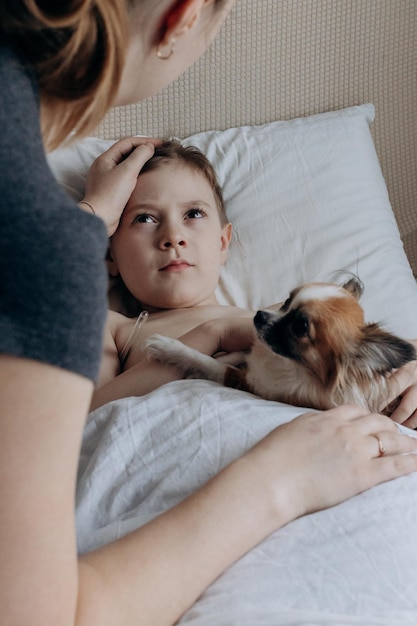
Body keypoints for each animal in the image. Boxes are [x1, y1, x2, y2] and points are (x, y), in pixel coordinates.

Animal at [145, 276, 414, 412]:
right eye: (286, 301)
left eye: (300, 327)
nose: (259, 315)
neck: (284, 363)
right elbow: (238, 353)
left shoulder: (248, 383)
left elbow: (212, 364)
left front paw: (169, 348)